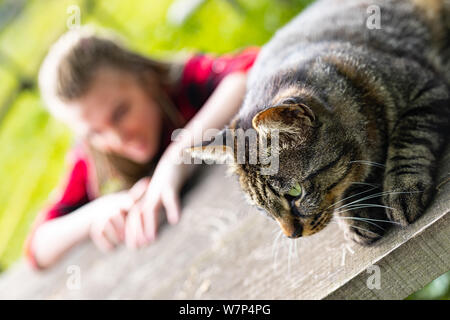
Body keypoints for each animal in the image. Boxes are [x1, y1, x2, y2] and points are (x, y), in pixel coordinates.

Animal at [189, 0, 450, 245]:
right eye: (262, 208)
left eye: (295, 193)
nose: (292, 235)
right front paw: (355, 213)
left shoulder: (428, 88)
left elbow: (408, 139)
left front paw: (400, 187)